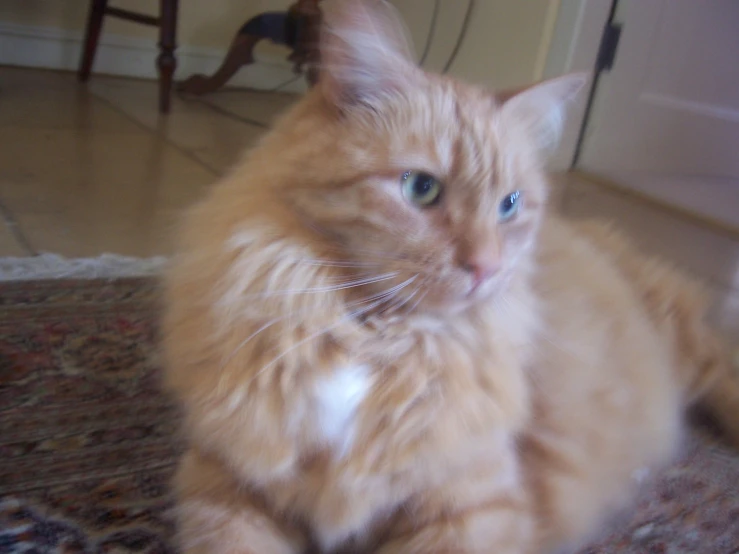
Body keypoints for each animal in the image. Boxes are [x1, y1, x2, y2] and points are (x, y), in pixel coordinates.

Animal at [163, 2, 739, 548]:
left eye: (509, 205)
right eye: (420, 189)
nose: (486, 267)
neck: (375, 337)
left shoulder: (474, 507)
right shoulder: (224, 485)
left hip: (682, 343)